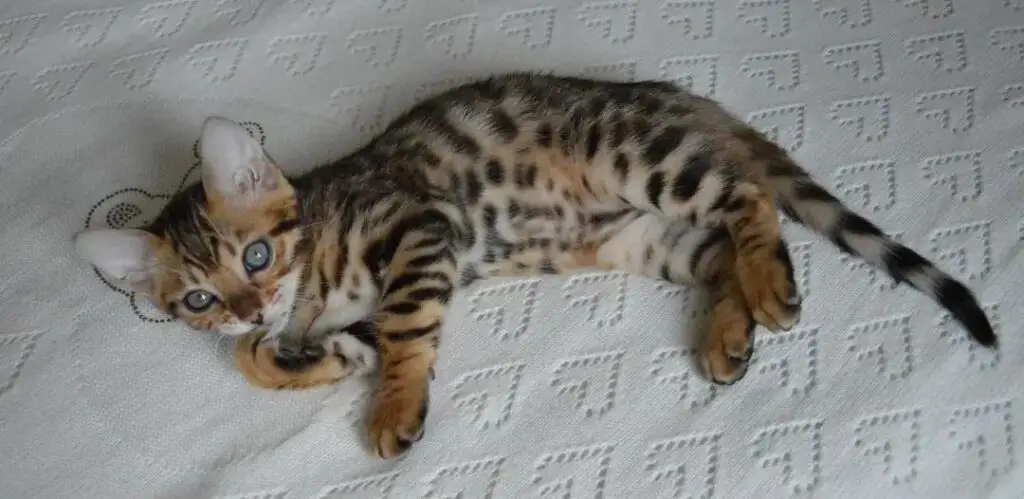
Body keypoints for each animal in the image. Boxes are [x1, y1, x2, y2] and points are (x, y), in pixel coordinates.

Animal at [74, 72, 999, 459]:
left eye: (257, 253)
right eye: (198, 297)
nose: (246, 306)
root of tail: (674, 96)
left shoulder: (420, 230)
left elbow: (404, 333)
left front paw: (394, 406)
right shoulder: (370, 297)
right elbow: (262, 360)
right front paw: (293, 359)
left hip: (645, 161)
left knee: (748, 200)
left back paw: (770, 286)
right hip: (643, 234)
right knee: (717, 253)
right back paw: (729, 332)